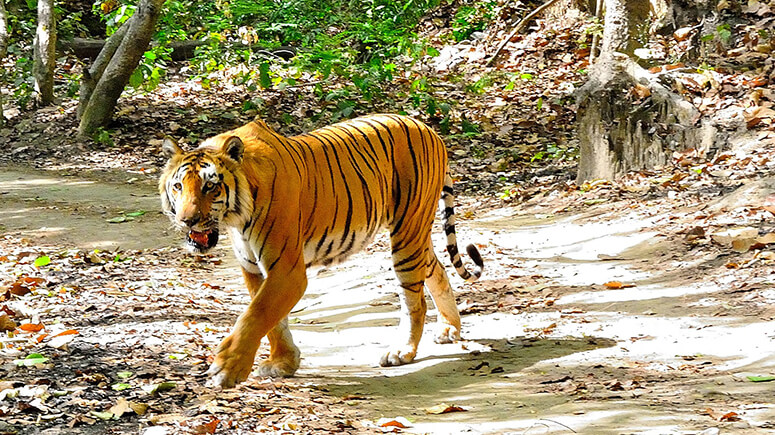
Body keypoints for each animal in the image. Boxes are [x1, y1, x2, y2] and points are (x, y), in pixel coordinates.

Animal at [160, 113, 482, 388]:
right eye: (178, 186)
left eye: (210, 187)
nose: (187, 220)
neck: (236, 219)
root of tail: (429, 129)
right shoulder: (252, 268)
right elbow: (272, 320)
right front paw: (283, 363)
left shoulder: (287, 270)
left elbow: (255, 315)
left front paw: (227, 369)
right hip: (414, 234)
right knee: (437, 270)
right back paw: (449, 328)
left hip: (407, 232)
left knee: (414, 300)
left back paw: (402, 350)